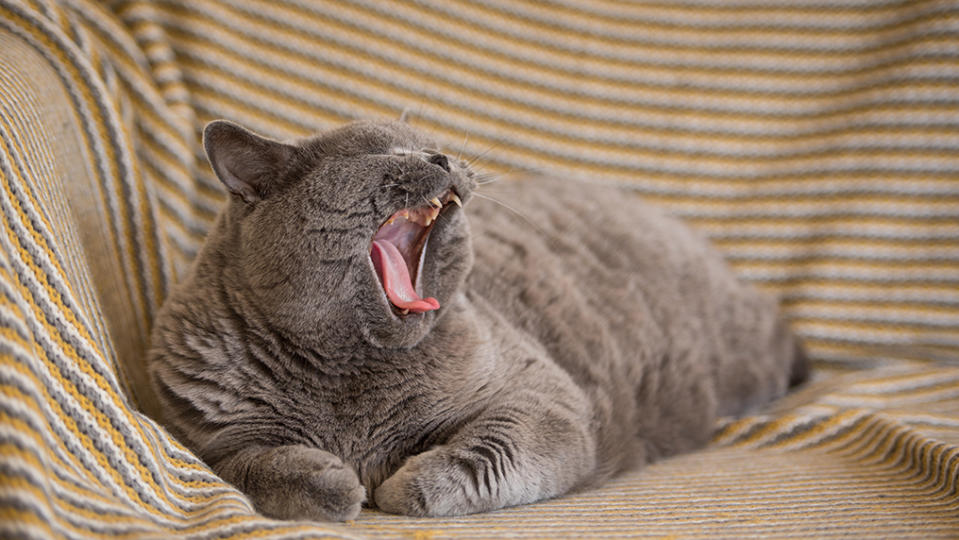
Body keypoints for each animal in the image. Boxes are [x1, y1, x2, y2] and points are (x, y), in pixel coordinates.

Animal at [150, 119, 808, 524]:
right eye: (387, 152)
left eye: (426, 141)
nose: (440, 155)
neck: (348, 375)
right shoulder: (207, 435)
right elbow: (252, 465)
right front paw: (338, 484)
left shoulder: (539, 394)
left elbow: (485, 453)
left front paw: (396, 486)